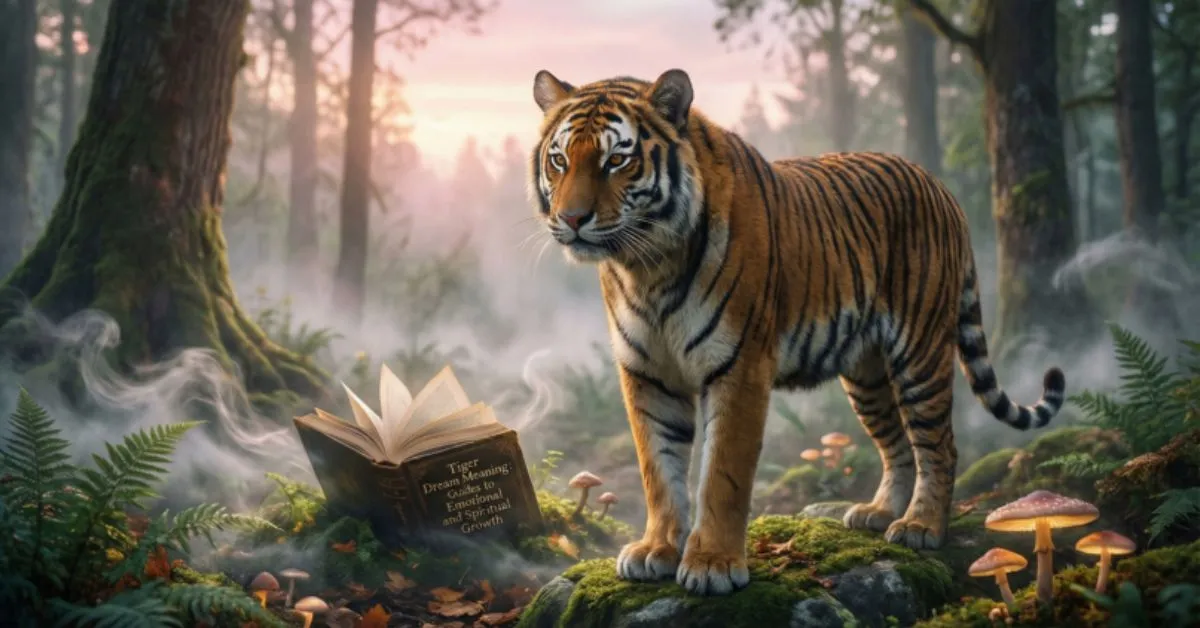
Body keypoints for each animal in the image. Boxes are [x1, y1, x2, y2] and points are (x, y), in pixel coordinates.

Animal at [527, 68, 1066, 596]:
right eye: (559, 160)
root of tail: (937, 184)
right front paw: (656, 550)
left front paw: (713, 563)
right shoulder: (648, 372)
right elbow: (657, 468)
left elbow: (722, 473)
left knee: (938, 445)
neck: (647, 265)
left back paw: (921, 525)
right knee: (895, 444)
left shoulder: (738, 365)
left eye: (616, 160)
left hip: (920, 352)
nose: (572, 219)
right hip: (865, 373)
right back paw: (878, 512)